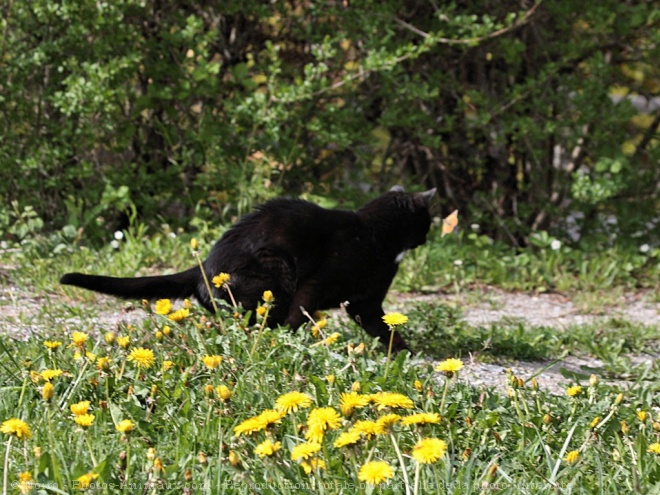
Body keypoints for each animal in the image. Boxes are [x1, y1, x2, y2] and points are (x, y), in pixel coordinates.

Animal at [60, 187, 434, 352]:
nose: (430, 235)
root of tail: (203, 266)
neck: (375, 233)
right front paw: (289, 344)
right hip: (277, 272)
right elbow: (300, 315)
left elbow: (384, 329)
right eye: (428, 220)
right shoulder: (317, 286)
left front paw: (403, 353)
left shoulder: (365, 302)